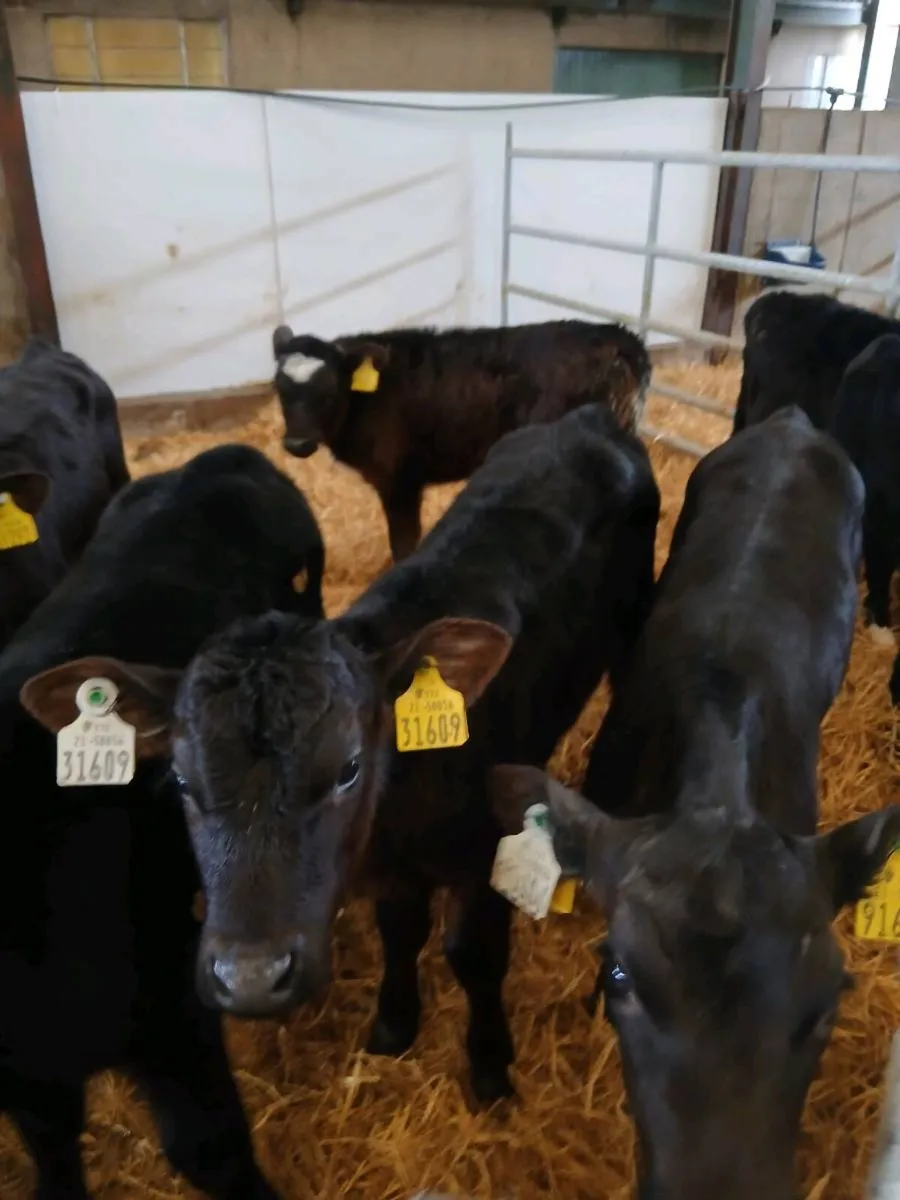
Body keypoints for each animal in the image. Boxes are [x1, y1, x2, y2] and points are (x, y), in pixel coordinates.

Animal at [24, 402, 661, 1107]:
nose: (251, 977)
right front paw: (394, 1025)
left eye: (350, 768)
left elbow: (472, 954)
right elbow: (400, 931)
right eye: (183, 784)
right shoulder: (390, 871)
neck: (406, 810)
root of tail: (586, 418)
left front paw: (491, 1068)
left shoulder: (488, 851)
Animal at [271, 318, 651, 562]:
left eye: (329, 391)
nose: (298, 444)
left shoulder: (400, 481)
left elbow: (403, 544)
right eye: (280, 389)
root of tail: (618, 337)